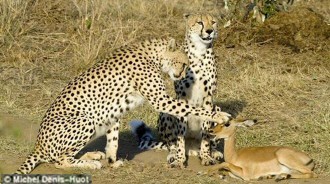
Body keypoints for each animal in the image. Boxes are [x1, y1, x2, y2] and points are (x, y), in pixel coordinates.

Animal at [15, 37, 231, 174]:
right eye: (183, 63)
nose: (182, 75)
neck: (153, 55)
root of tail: (38, 143)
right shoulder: (160, 100)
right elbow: (194, 108)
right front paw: (219, 115)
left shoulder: (113, 112)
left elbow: (113, 141)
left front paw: (113, 161)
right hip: (86, 121)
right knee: (59, 161)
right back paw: (88, 163)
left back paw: (92, 155)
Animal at [130, 13, 223, 167]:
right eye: (200, 22)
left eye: (213, 22)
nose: (210, 31)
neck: (199, 52)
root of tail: (192, 149)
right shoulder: (182, 97)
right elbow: (180, 134)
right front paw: (180, 159)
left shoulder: (208, 98)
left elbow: (206, 132)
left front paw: (206, 156)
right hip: (165, 114)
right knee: (170, 144)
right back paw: (173, 155)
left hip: (217, 108)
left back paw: (213, 152)